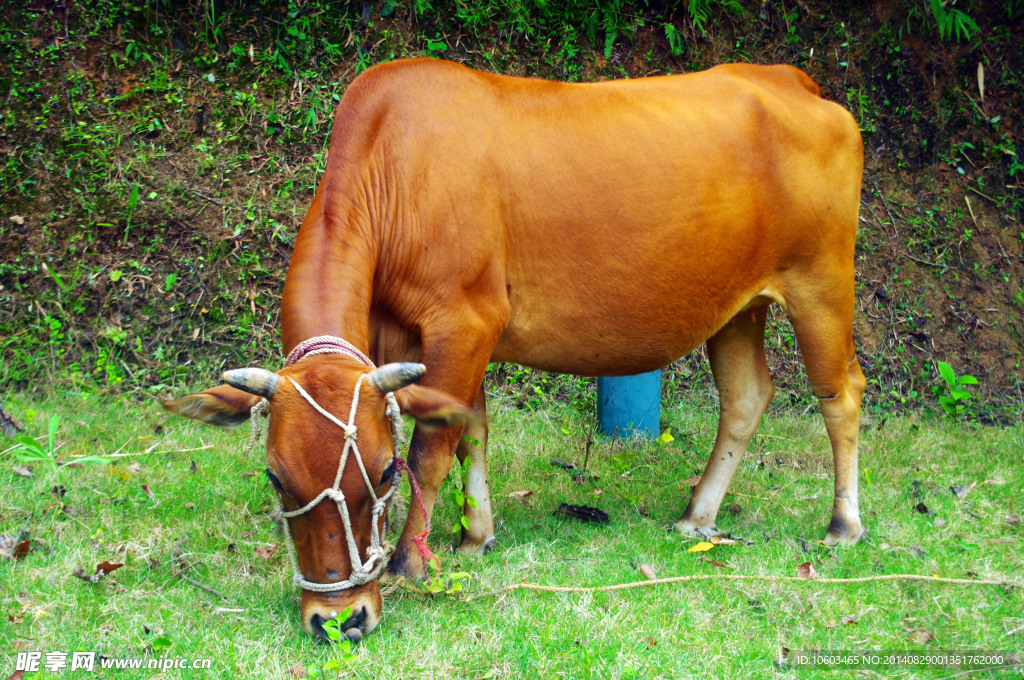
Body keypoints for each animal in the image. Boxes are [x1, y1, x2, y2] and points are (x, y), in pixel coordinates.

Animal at [163, 58, 868, 639]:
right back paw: (698, 515)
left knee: (842, 393)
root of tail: (794, 82)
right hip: (737, 308)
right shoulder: (429, 339)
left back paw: (843, 525)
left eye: (382, 472)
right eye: (275, 477)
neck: (393, 168)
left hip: (821, 280)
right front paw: (474, 536)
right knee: (747, 397)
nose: (339, 618)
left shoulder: (465, 320)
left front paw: (410, 561)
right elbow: (469, 429)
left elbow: (433, 448)